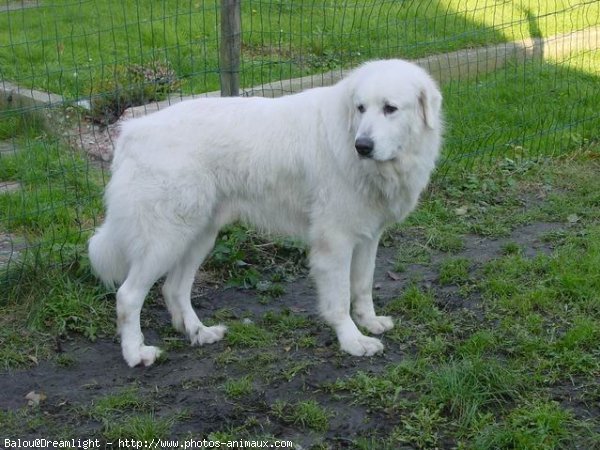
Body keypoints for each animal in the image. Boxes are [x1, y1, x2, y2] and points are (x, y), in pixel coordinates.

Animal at [90, 59, 446, 368]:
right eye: (361, 108)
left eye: (390, 108)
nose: (363, 146)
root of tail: (131, 131)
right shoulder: (335, 242)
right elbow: (340, 299)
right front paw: (352, 341)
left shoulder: (367, 237)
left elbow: (362, 286)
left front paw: (369, 322)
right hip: (165, 238)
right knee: (128, 296)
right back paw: (135, 353)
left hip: (198, 235)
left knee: (174, 288)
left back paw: (199, 332)